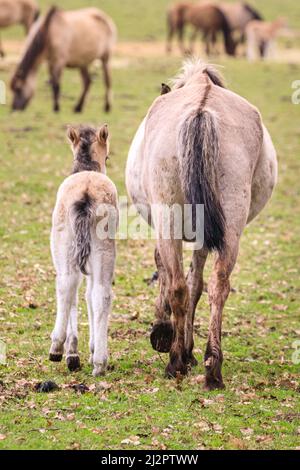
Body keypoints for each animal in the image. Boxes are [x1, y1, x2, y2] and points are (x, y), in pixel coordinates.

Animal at [49, 123, 118, 376]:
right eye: (107, 156)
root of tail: (86, 195)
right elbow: (88, 295)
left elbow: (75, 295)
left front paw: (72, 353)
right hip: (104, 248)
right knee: (101, 294)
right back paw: (99, 362)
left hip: (63, 244)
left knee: (66, 283)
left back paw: (57, 347)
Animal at [125, 58, 278, 390]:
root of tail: (202, 109)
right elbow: (197, 285)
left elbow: (169, 273)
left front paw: (164, 333)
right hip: (231, 228)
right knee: (218, 285)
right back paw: (212, 367)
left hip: (169, 222)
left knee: (179, 287)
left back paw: (176, 362)